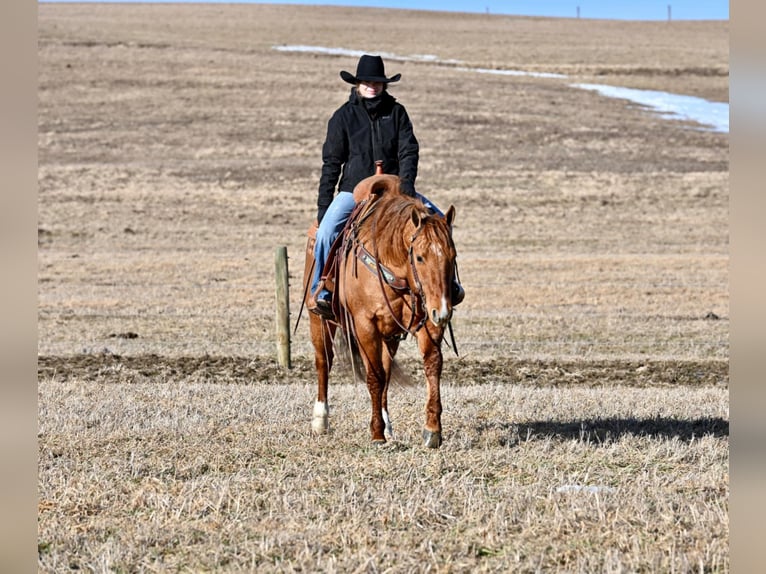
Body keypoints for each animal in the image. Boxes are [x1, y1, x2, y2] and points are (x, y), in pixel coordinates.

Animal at [304, 174, 460, 450]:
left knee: (386, 369)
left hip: (390, 334)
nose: (442, 311)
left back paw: (388, 424)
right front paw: (376, 434)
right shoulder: (366, 325)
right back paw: (321, 421)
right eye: (419, 257)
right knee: (324, 361)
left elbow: (431, 365)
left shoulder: (426, 321)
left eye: (452, 256)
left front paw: (432, 430)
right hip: (320, 321)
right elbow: (374, 376)